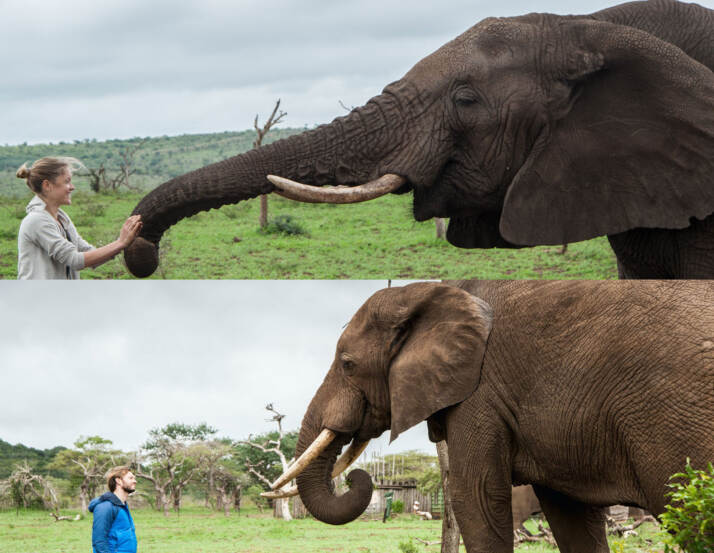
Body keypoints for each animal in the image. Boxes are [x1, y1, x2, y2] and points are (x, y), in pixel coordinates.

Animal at [268, 282, 712, 548]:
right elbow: (572, 515)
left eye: (347, 364)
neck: (432, 292)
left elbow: (476, 497)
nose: (357, 479)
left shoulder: (481, 392)